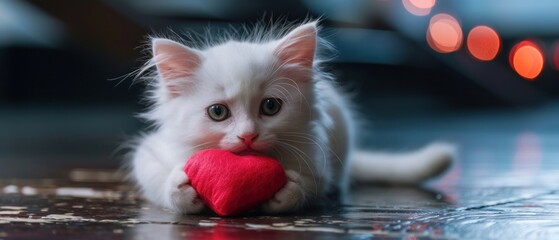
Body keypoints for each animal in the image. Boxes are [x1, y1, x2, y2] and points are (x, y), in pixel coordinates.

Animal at [129, 21, 452, 214]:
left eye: (271, 107)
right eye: (217, 112)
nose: (248, 135)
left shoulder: (320, 160)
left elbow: (314, 185)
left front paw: (290, 191)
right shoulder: (150, 149)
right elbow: (153, 176)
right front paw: (178, 188)